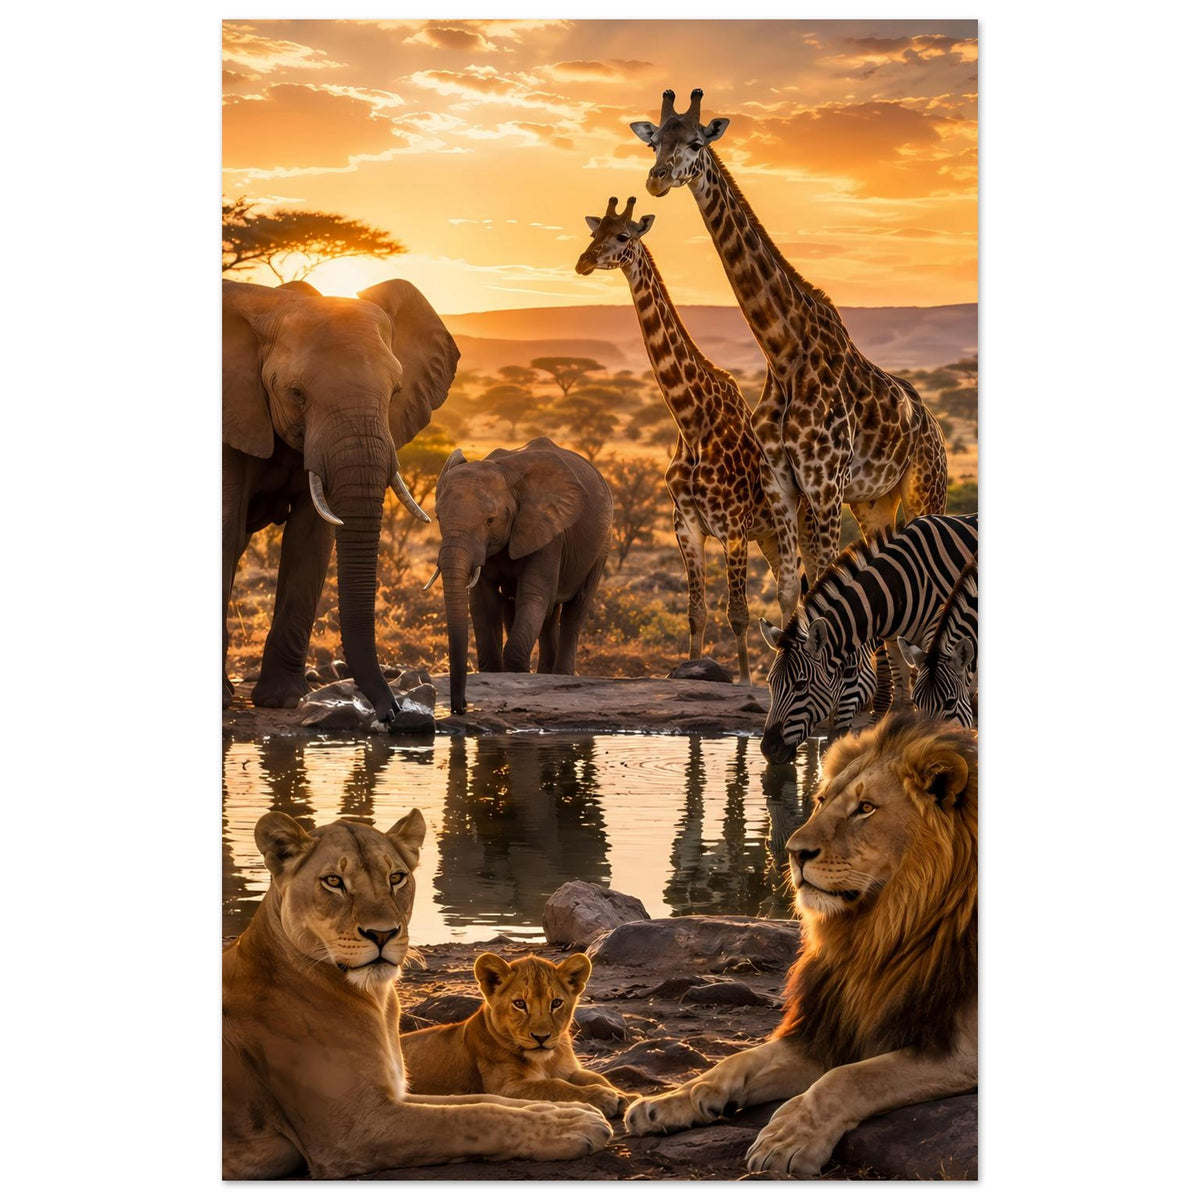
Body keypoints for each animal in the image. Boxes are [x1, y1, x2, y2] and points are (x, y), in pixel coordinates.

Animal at [400, 951, 634, 1117]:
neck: (545, 1061)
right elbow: (554, 1086)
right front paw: (603, 1096)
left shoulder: (569, 1070)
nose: (541, 1037)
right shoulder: (504, 1089)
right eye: (520, 1004)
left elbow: (595, 1077)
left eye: (556, 1003)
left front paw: (626, 1096)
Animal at [625, 712, 977, 1177]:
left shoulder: (962, 1048)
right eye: (823, 800)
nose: (792, 852)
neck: (882, 932)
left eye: (866, 809)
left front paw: (788, 1138)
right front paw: (670, 1101)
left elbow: (851, 1077)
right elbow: (738, 1060)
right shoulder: (832, 1027)